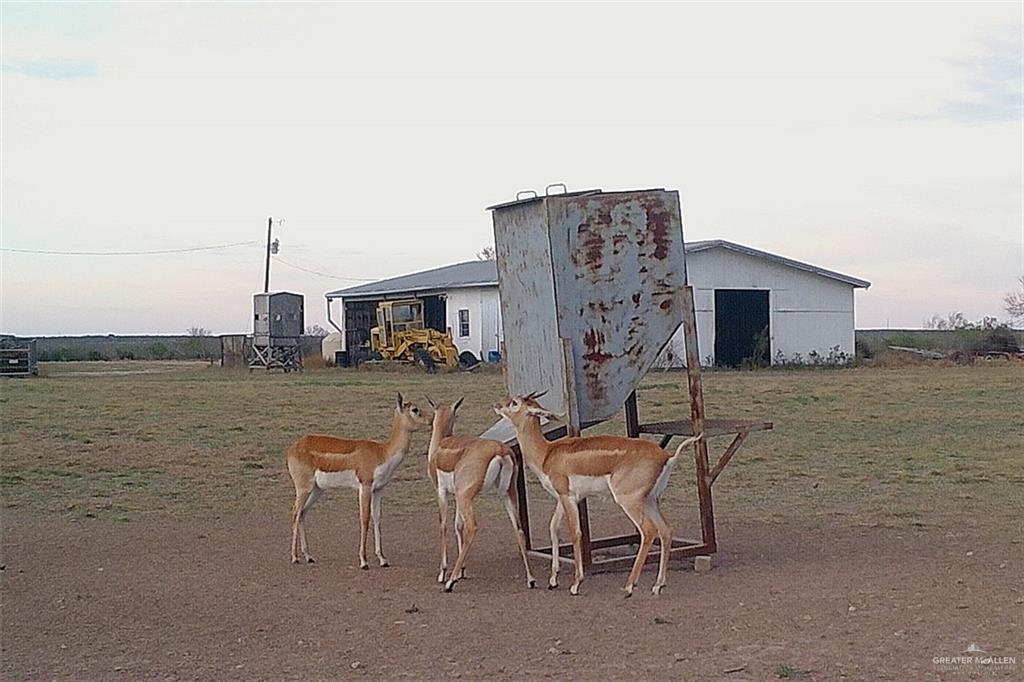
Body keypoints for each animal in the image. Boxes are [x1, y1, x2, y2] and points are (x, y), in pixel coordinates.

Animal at [286, 391, 425, 565]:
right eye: (415, 409)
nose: (431, 420)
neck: (382, 452)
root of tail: (293, 447)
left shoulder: (378, 489)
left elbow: (377, 519)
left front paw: (382, 559)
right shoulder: (364, 487)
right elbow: (364, 519)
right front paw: (364, 561)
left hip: (317, 490)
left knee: (303, 512)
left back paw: (309, 556)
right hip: (304, 488)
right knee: (295, 512)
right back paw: (294, 557)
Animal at [423, 393, 536, 589]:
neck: (439, 448)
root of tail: (500, 450)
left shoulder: (442, 492)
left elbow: (443, 525)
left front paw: (444, 573)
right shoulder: (458, 496)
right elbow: (457, 525)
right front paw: (461, 570)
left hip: (466, 497)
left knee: (472, 527)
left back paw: (450, 583)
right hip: (507, 494)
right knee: (519, 529)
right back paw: (530, 579)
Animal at [491, 393, 700, 593]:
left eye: (514, 403)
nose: (497, 405)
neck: (547, 453)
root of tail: (667, 456)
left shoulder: (568, 497)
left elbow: (575, 533)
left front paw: (576, 584)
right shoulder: (562, 498)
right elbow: (553, 527)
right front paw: (553, 580)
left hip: (628, 500)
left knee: (648, 531)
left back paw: (629, 586)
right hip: (650, 500)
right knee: (666, 530)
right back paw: (658, 585)